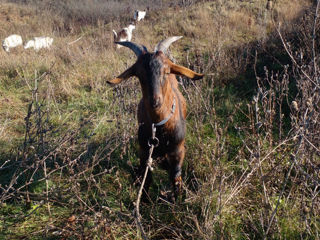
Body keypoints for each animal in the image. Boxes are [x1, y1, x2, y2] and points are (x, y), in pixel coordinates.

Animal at [107, 36, 202, 202]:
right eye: (139, 74)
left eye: (166, 71)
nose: (155, 101)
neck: (159, 128)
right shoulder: (144, 151)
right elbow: (147, 177)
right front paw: (145, 200)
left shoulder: (178, 150)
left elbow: (176, 175)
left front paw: (177, 200)